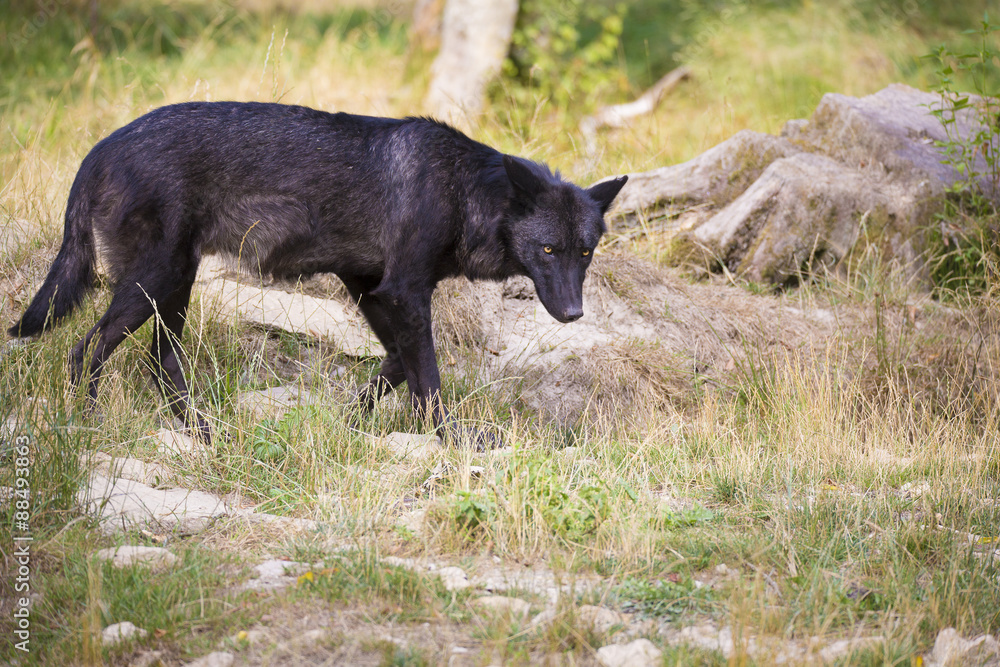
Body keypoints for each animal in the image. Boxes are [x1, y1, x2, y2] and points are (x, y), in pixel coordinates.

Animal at [9, 102, 627, 446]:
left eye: (585, 252)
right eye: (547, 250)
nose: (573, 314)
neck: (461, 189)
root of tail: (98, 150)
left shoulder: (372, 289)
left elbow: (396, 365)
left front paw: (350, 425)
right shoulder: (405, 292)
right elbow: (428, 380)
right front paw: (452, 441)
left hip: (172, 291)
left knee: (160, 364)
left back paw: (205, 435)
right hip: (152, 286)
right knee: (84, 351)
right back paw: (90, 426)